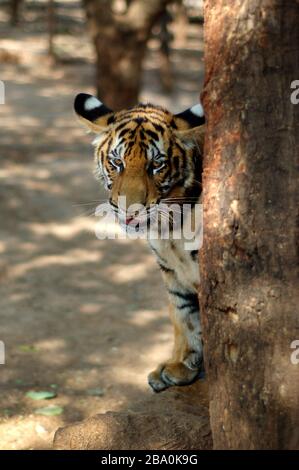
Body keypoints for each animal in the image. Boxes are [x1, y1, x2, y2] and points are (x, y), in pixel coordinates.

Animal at [74, 92, 206, 392]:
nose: (129, 210)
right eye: (117, 163)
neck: (170, 226)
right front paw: (181, 365)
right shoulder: (171, 269)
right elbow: (183, 317)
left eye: (156, 165)